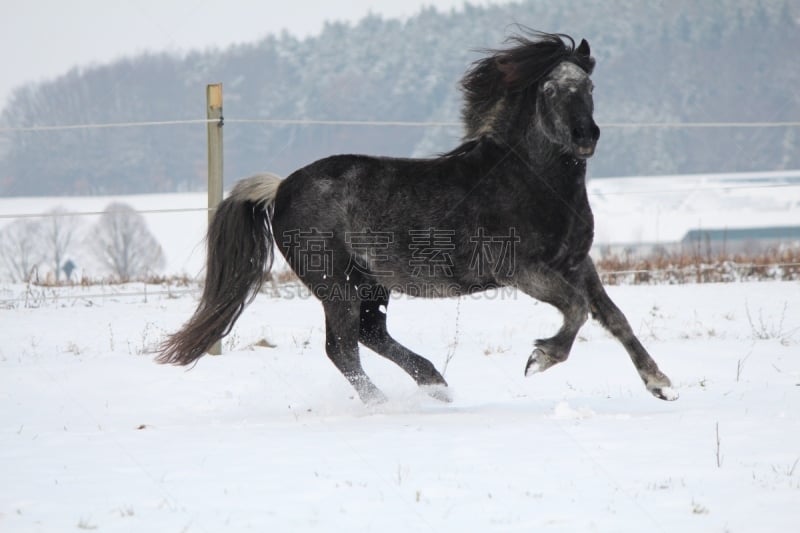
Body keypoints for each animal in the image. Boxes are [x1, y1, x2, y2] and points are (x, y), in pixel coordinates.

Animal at [159, 32, 680, 404]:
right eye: (550, 89)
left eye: (589, 86)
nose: (585, 136)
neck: (529, 179)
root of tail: (281, 186)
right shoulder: (522, 269)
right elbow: (576, 310)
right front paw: (540, 358)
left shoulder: (576, 262)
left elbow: (613, 317)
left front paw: (660, 383)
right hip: (333, 282)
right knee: (343, 348)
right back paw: (387, 404)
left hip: (369, 282)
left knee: (370, 334)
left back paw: (435, 385)